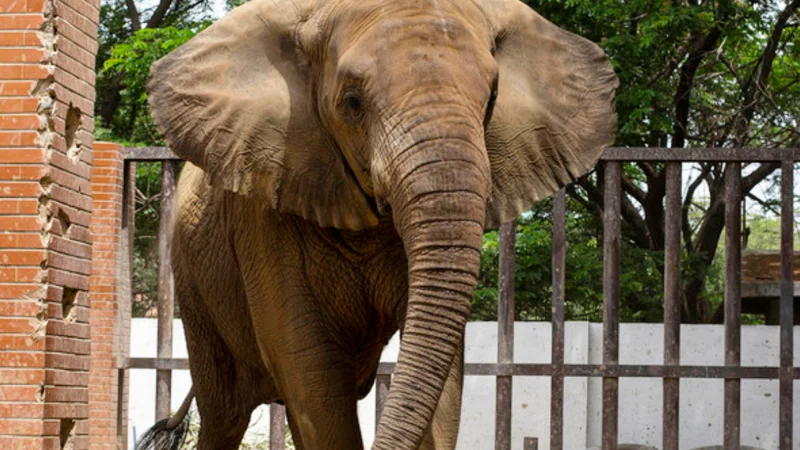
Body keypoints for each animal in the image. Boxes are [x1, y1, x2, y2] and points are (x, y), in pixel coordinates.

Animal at [137, 0, 617, 448]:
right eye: (352, 103)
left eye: (492, 100)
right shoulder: (265, 203)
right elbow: (311, 371)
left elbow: (442, 376)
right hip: (195, 288)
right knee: (225, 416)